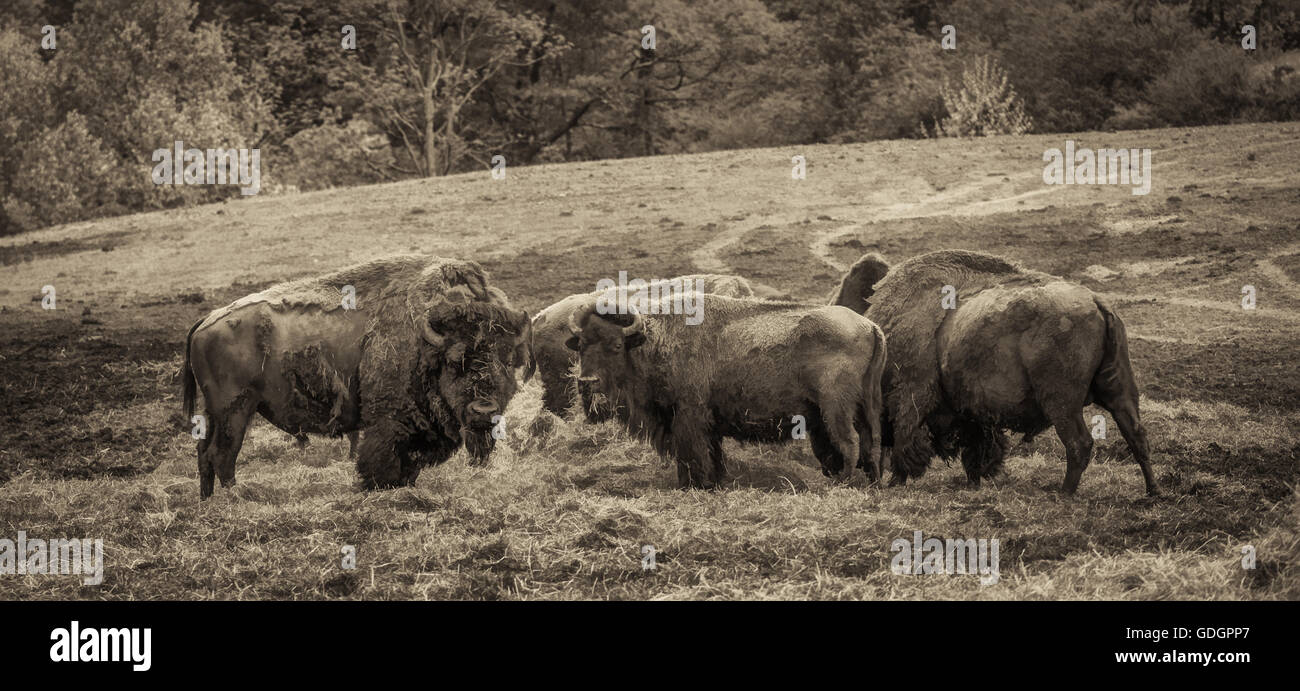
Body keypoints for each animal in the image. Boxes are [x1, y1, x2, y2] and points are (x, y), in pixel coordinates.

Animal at [181, 255, 533, 499]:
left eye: (506, 360)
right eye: (454, 360)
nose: (484, 411)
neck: (426, 339)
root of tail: (206, 320)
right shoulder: (390, 422)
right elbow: (383, 460)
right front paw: (376, 488)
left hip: (215, 413)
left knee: (204, 455)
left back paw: (208, 501)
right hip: (235, 409)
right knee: (222, 455)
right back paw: (237, 499)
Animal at [564, 294, 886, 488]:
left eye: (616, 345)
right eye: (581, 345)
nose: (587, 381)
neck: (651, 341)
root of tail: (870, 326)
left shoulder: (687, 416)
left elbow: (692, 454)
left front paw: (693, 485)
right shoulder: (708, 423)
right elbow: (713, 454)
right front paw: (715, 482)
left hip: (835, 407)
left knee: (849, 442)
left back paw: (843, 482)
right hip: (865, 405)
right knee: (871, 441)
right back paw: (872, 483)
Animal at [845, 249, 1157, 496]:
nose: (866, 475)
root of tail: (1096, 302)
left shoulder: (913, 396)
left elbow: (906, 440)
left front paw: (897, 481)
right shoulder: (972, 412)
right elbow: (976, 449)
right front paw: (973, 482)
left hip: (1062, 403)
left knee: (1080, 443)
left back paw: (1064, 493)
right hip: (1119, 390)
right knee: (1137, 435)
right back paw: (1152, 492)